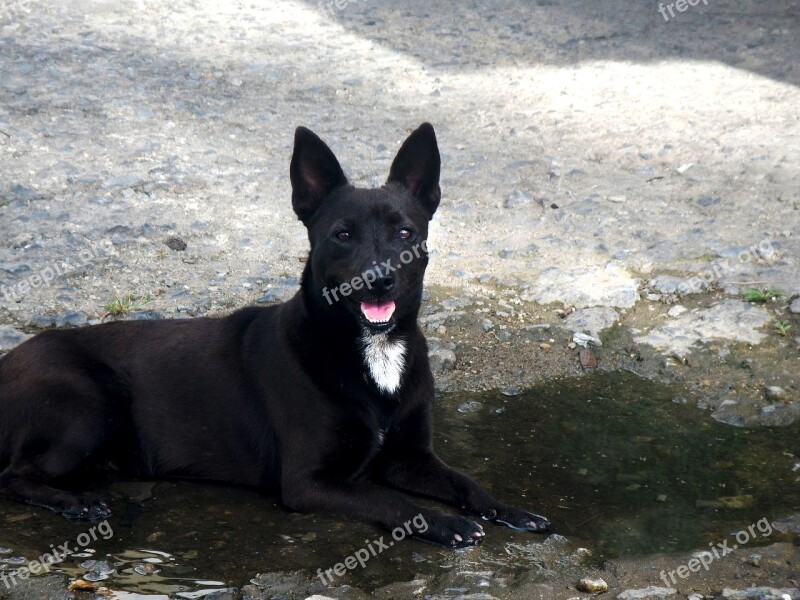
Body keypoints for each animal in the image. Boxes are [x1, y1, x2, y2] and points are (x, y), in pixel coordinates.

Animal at [0, 124, 552, 548]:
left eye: (405, 233)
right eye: (342, 234)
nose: (379, 279)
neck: (369, 351)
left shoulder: (412, 460)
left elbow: (467, 482)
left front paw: (511, 511)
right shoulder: (311, 482)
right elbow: (391, 500)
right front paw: (442, 523)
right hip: (93, 402)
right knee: (14, 475)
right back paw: (75, 502)